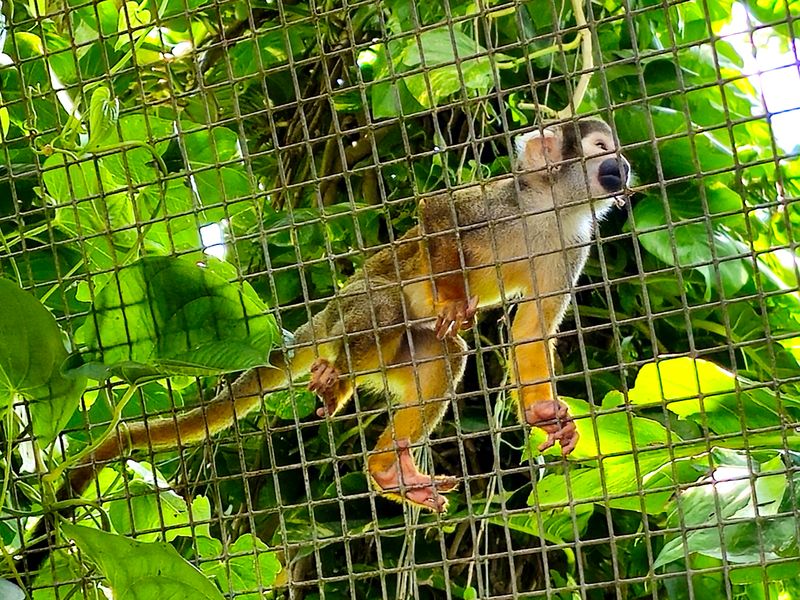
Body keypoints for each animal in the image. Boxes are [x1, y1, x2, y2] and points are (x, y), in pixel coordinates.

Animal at [68, 117, 630, 513]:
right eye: (603, 150)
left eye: (617, 154)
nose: (623, 167)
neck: (547, 209)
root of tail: (326, 317)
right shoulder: (498, 203)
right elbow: (436, 213)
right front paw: (451, 297)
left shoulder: (572, 245)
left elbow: (531, 329)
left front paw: (545, 414)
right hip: (351, 305)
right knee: (382, 305)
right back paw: (336, 377)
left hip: (394, 357)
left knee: (445, 355)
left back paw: (386, 467)